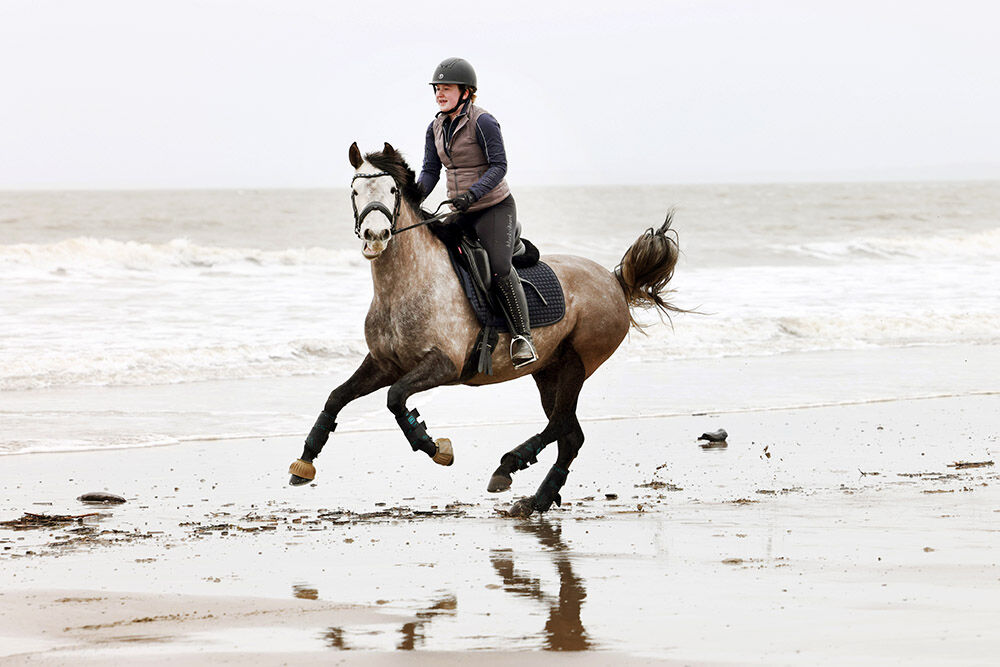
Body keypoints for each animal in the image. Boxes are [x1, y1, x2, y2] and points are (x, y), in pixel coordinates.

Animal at [287, 142, 682, 517]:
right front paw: (304, 463)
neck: (405, 286)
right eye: (355, 191)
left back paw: (509, 465)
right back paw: (535, 499)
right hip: (548, 371)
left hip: (577, 363)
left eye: (392, 189)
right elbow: (336, 397)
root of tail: (614, 280)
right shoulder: (385, 364)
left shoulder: (443, 365)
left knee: (561, 424)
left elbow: (395, 398)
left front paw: (435, 447)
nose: (375, 235)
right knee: (570, 435)